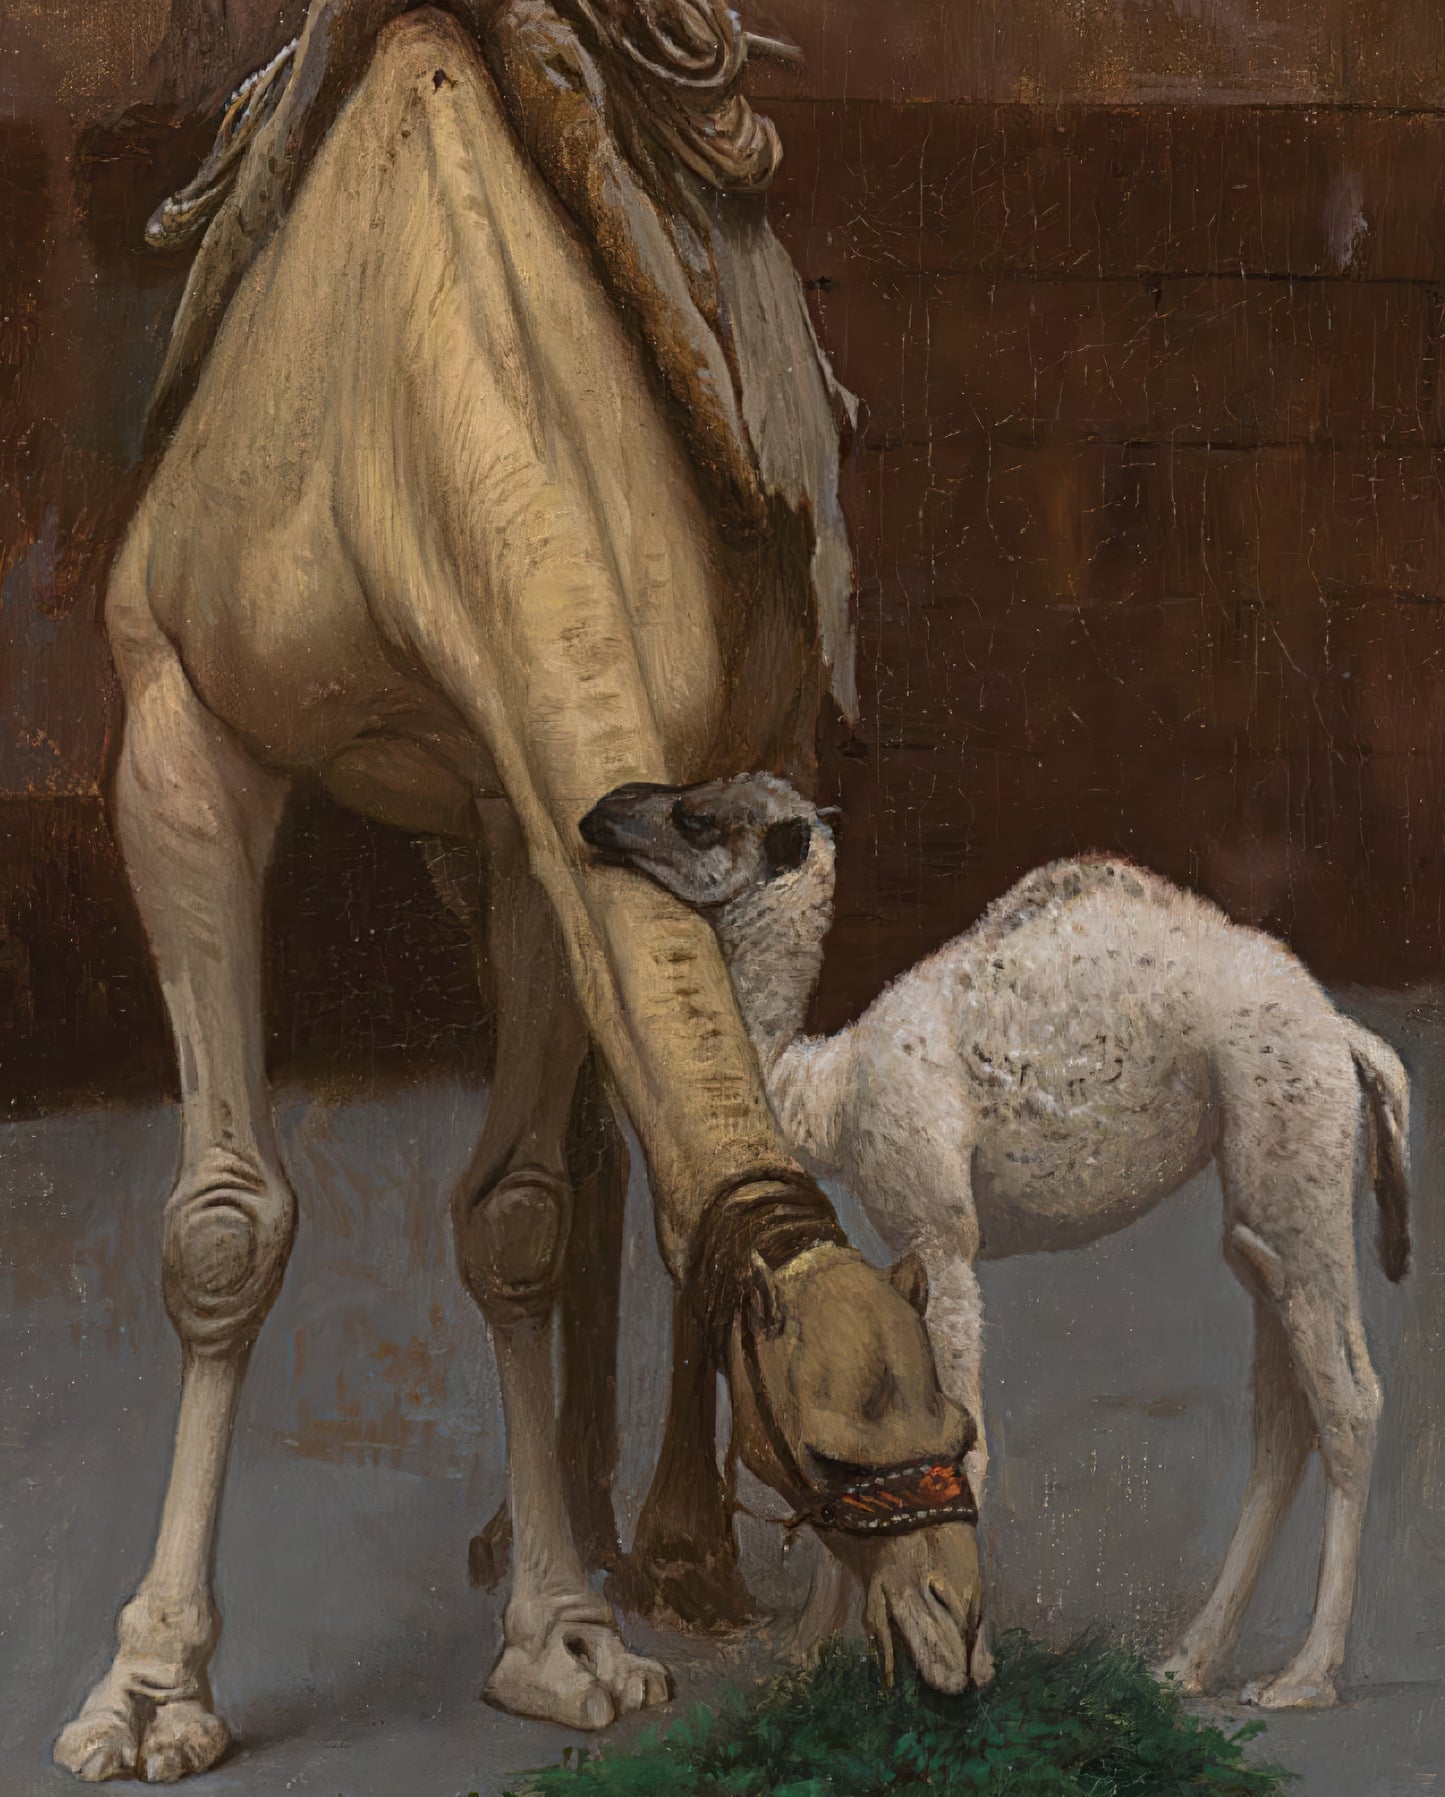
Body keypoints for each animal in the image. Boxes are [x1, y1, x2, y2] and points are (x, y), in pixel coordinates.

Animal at [53, 8, 986, 1783]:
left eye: (954, 1421)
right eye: (837, 1448)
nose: (954, 1630)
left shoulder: (534, 800)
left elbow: (518, 1217)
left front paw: (565, 1644)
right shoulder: (184, 730)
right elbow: (227, 1222)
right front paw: (147, 1692)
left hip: (751, 750)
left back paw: (669, 1550)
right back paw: (552, 1518)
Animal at [578, 772, 1412, 1711]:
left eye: (696, 817)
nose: (602, 813)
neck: (827, 1089)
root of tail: (1346, 1036)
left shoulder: (939, 1231)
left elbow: (959, 1441)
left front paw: (960, 1657)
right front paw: (807, 1651)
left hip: (1294, 1149)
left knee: (1347, 1401)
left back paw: (1303, 1676)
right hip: (1264, 1204)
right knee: (1281, 1408)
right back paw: (1186, 1662)